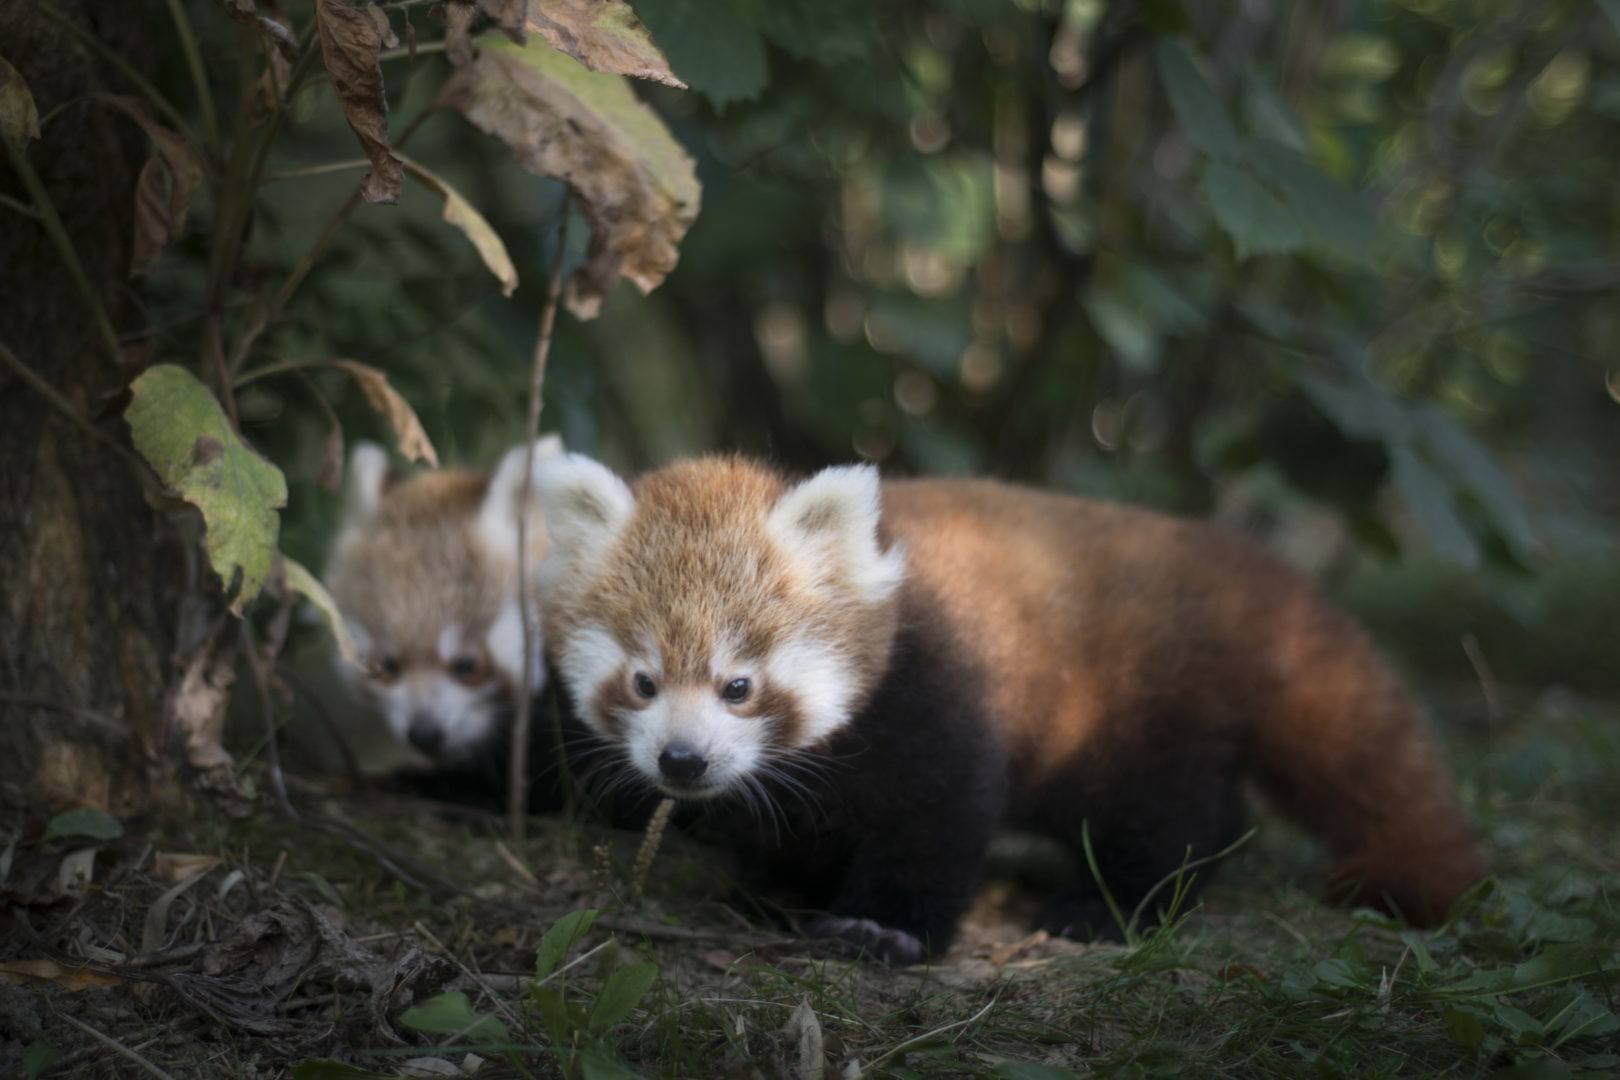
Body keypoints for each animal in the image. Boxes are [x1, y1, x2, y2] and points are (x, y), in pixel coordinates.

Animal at [537, 453, 1483, 965]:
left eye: (739, 685)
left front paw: (881, 930)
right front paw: (776, 890)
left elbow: (937, 822)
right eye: (643, 682)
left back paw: (1112, 905)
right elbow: (792, 828)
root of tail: (1227, 574)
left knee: (1171, 814)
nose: (683, 761)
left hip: (1130, 712)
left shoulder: (936, 699)